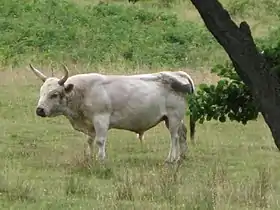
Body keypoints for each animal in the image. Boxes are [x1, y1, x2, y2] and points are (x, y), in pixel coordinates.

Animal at [27, 63, 195, 162]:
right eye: (41, 92)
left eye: (54, 94)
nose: (39, 110)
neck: (83, 91)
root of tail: (178, 74)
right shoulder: (90, 125)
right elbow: (89, 141)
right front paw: (89, 158)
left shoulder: (101, 119)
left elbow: (100, 141)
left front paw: (101, 159)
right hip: (171, 119)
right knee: (182, 134)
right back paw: (182, 156)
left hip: (174, 118)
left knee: (174, 137)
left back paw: (171, 158)